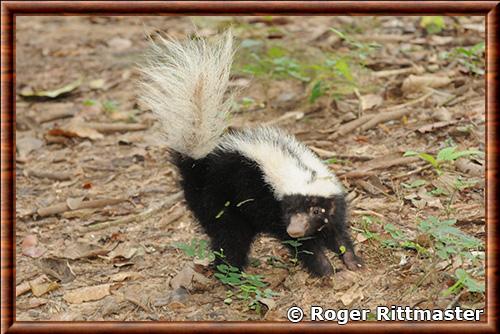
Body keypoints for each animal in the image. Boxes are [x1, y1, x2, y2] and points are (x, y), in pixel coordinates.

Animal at [139, 31, 362, 276]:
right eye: (289, 210)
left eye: (315, 210)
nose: (294, 229)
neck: (302, 171)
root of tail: (200, 163)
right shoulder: (272, 207)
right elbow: (304, 246)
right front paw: (325, 269)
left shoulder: (332, 206)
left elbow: (337, 234)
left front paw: (352, 261)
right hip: (219, 201)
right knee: (231, 235)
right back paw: (229, 270)